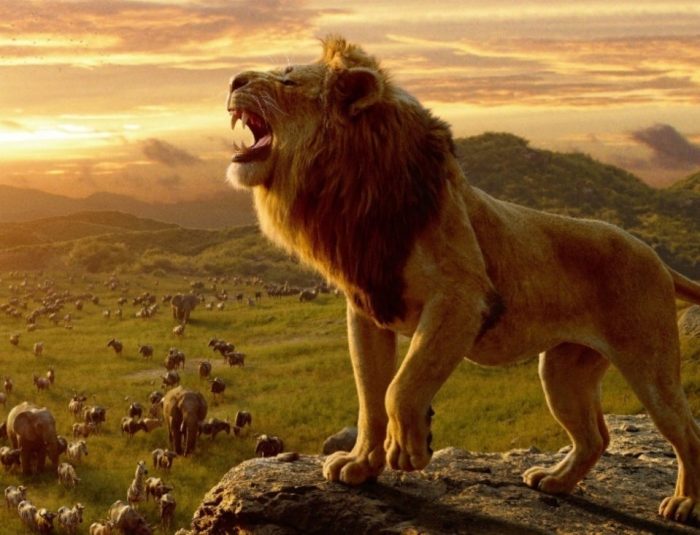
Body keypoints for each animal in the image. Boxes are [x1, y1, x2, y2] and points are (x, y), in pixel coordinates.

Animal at [225, 36, 700, 524]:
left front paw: (410, 449)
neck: (351, 190)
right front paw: (360, 465)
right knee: (595, 436)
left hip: (649, 365)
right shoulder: (367, 309)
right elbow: (370, 397)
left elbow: (401, 387)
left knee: (687, 431)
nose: (233, 81)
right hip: (563, 372)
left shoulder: (462, 298)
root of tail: (655, 256)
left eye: (286, 80)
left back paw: (683, 502)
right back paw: (555, 481)